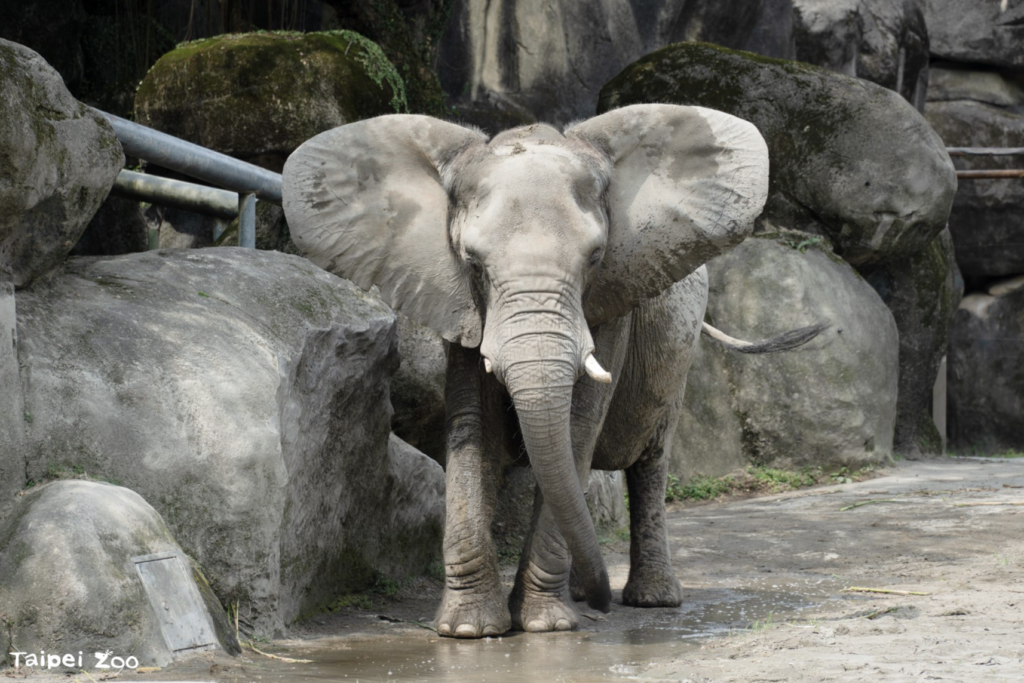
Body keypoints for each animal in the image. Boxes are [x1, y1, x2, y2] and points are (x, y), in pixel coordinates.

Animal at [282, 104, 823, 638]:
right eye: (472, 263)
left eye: (596, 258)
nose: (603, 605)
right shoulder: (460, 305)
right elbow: (475, 427)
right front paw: (470, 630)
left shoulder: (613, 300)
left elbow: (579, 423)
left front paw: (545, 625)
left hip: (677, 351)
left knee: (649, 459)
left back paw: (650, 599)